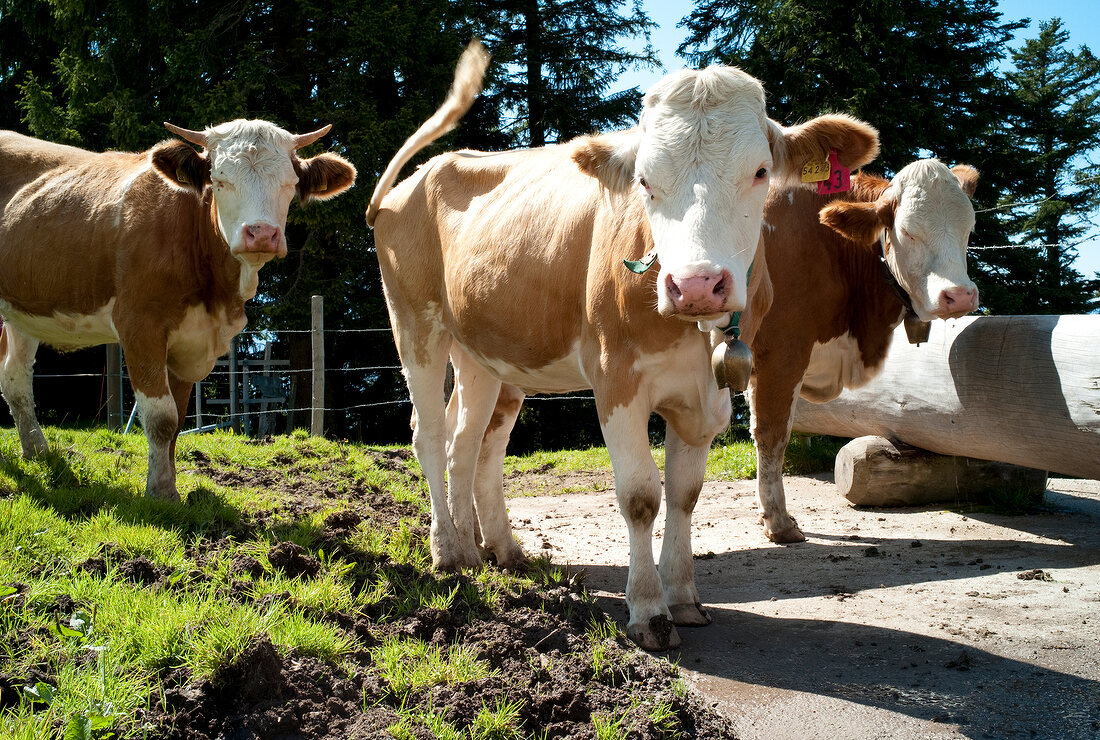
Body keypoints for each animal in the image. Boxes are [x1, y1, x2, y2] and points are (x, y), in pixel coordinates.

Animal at [0, 120, 356, 499]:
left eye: (289, 183)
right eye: (219, 180)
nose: (261, 234)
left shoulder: (191, 341)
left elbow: (178, 419)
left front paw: (170, 486)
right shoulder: (139, 324)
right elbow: (162, 418)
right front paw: (159, 492)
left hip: (23, 309)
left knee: (15, 377)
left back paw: (37, 451)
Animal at [367, 43, 875, 650]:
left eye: (759, 172)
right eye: (645, 181)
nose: (696, 284)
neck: (694, 334)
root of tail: (424, 173)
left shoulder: (706, 396)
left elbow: (685, 494)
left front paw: (684, 598)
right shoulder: (617, 378)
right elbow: (640, 496)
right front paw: (649, 611)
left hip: (482, 352)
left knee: (466, 442)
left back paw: (487, 551)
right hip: (416, 323)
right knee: (429, 433)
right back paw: (446, 552)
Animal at [739, 160, 981, 543]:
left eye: (969, 228)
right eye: (907, 231)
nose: (959, 296)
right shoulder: (782, 347)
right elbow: (772, 433)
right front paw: (778, 522)